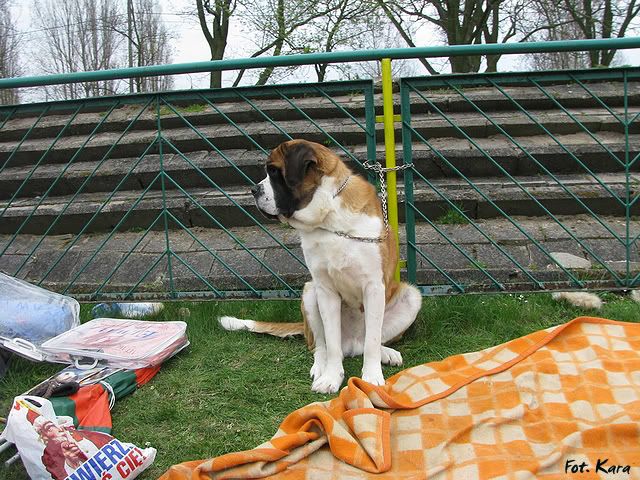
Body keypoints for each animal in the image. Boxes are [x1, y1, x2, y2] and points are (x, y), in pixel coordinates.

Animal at [219, 139, 422, 394]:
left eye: (274, 171)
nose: (254, 190)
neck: (329, 218)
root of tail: (351, 343)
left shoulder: (374, 287)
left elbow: (372, 341)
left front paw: (372, 376)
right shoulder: (325, 290)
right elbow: (332, 343)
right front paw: (331, 377)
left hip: (411, 296)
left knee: (367, 341)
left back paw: (386, 353)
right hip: (310, 292)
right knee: (319, 345)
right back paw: (320, 366)